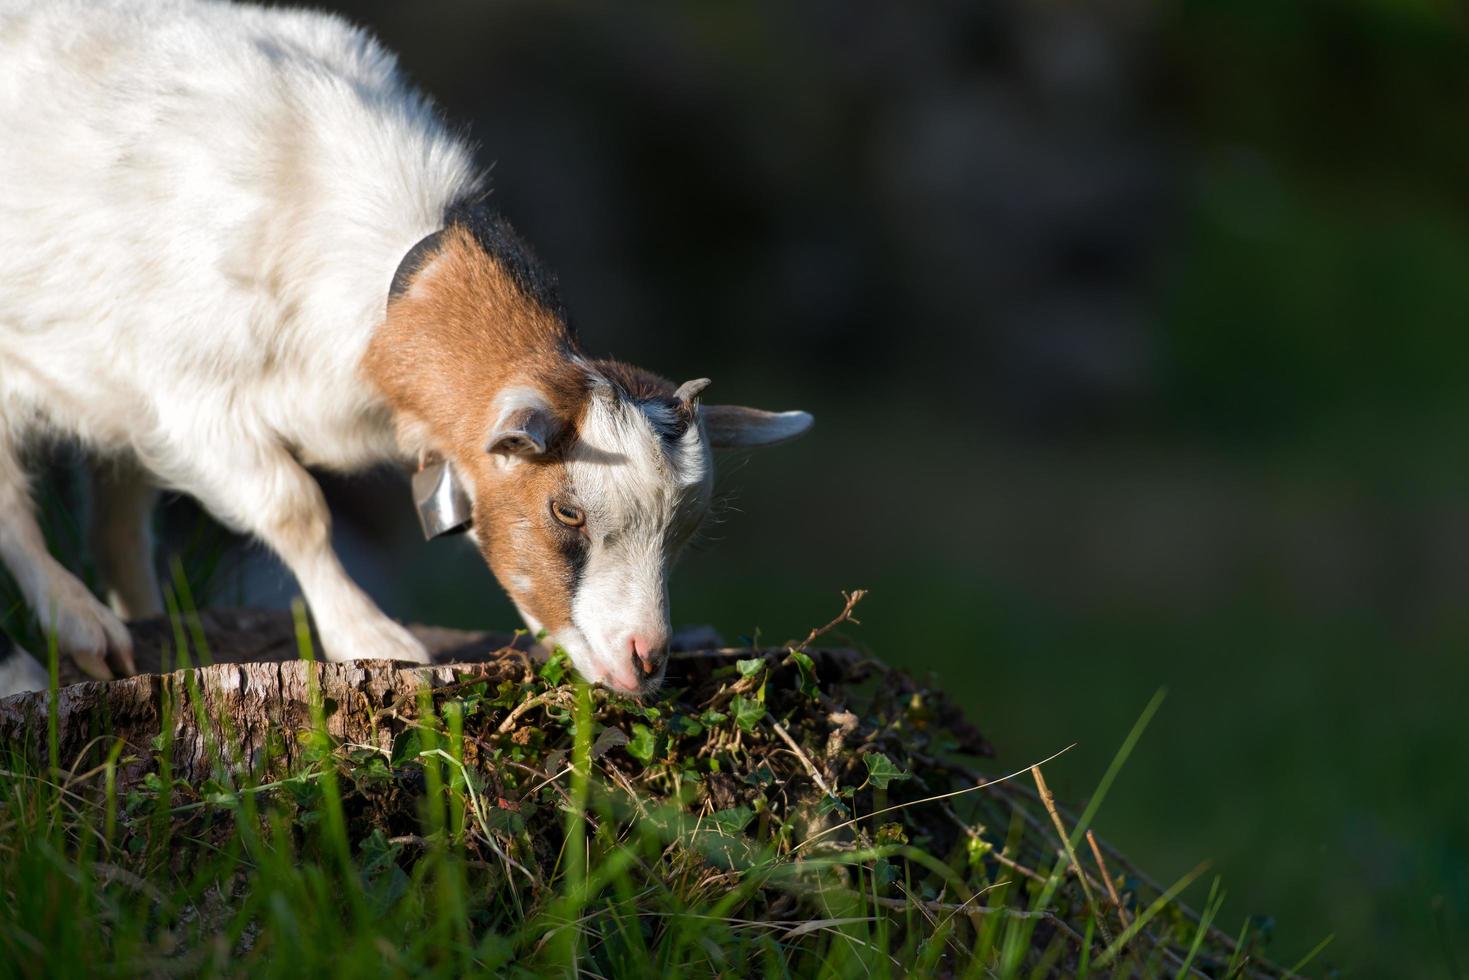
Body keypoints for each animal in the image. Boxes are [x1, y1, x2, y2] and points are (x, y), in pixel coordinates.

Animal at [0, 1, 816, 705]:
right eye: (567, 510)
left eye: (687, 529)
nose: (644, 660)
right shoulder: (196, 397)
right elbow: (295, 508)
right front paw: (371, 636)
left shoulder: (147, 406)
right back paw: (70, 631)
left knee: (114, 523)